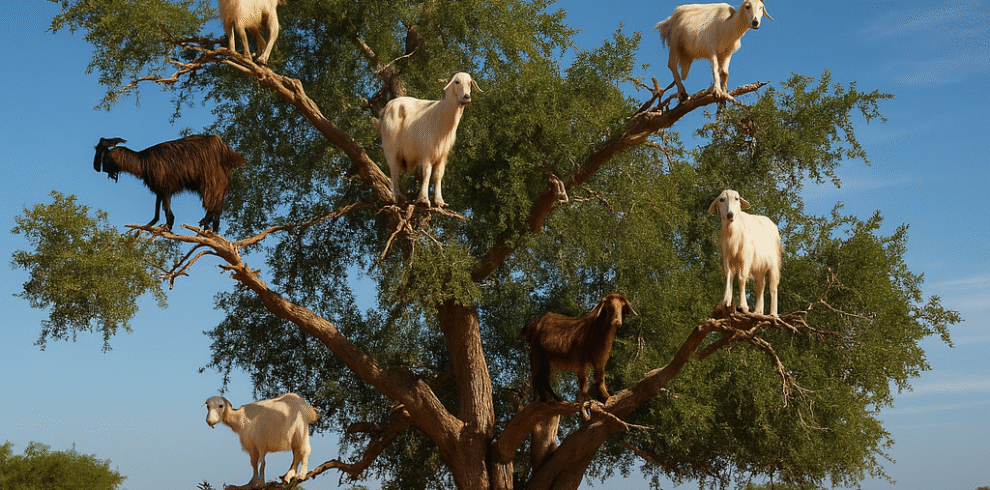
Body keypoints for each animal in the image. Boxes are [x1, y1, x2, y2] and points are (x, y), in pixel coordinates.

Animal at [93, 135, 246, 232]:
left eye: (103, 155)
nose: (98, 168)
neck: (143, 162)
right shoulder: (160, 189)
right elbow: (157, 211)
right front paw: (153, 225)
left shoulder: (165, 186)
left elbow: (165, 207)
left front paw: (168, 225)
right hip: (219, 182)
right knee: (218, 204)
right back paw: (213, 228)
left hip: (211, 180)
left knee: (213, 202)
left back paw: (206, 222)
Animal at [379, 72, 482, 208]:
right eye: (457, 82)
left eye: (470, 83)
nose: (466, 97)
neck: (442, 116)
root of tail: (387, 107)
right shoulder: (426, 151)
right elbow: (427, 173)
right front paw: (423, 200)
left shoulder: (443, 154)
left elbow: (438, 175)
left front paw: (439, 201)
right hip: (391, 148)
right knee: (394, 172)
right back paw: (397, 198)